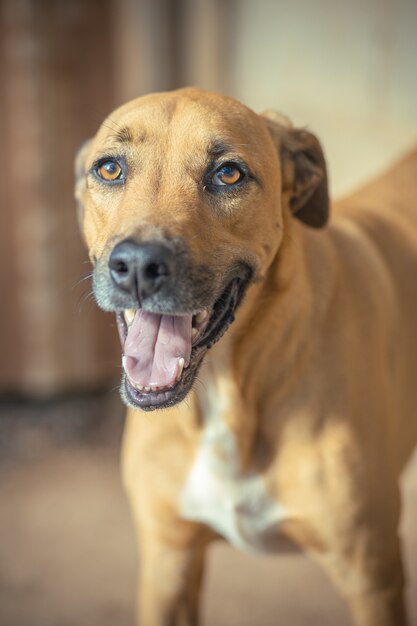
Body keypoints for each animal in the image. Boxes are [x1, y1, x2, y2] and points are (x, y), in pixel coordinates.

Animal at [74, 88, 416, 624]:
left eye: (228, 174)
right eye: (109, 169)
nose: (137, 266)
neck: (227, 391)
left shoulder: (373, 578)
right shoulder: (168, 563)